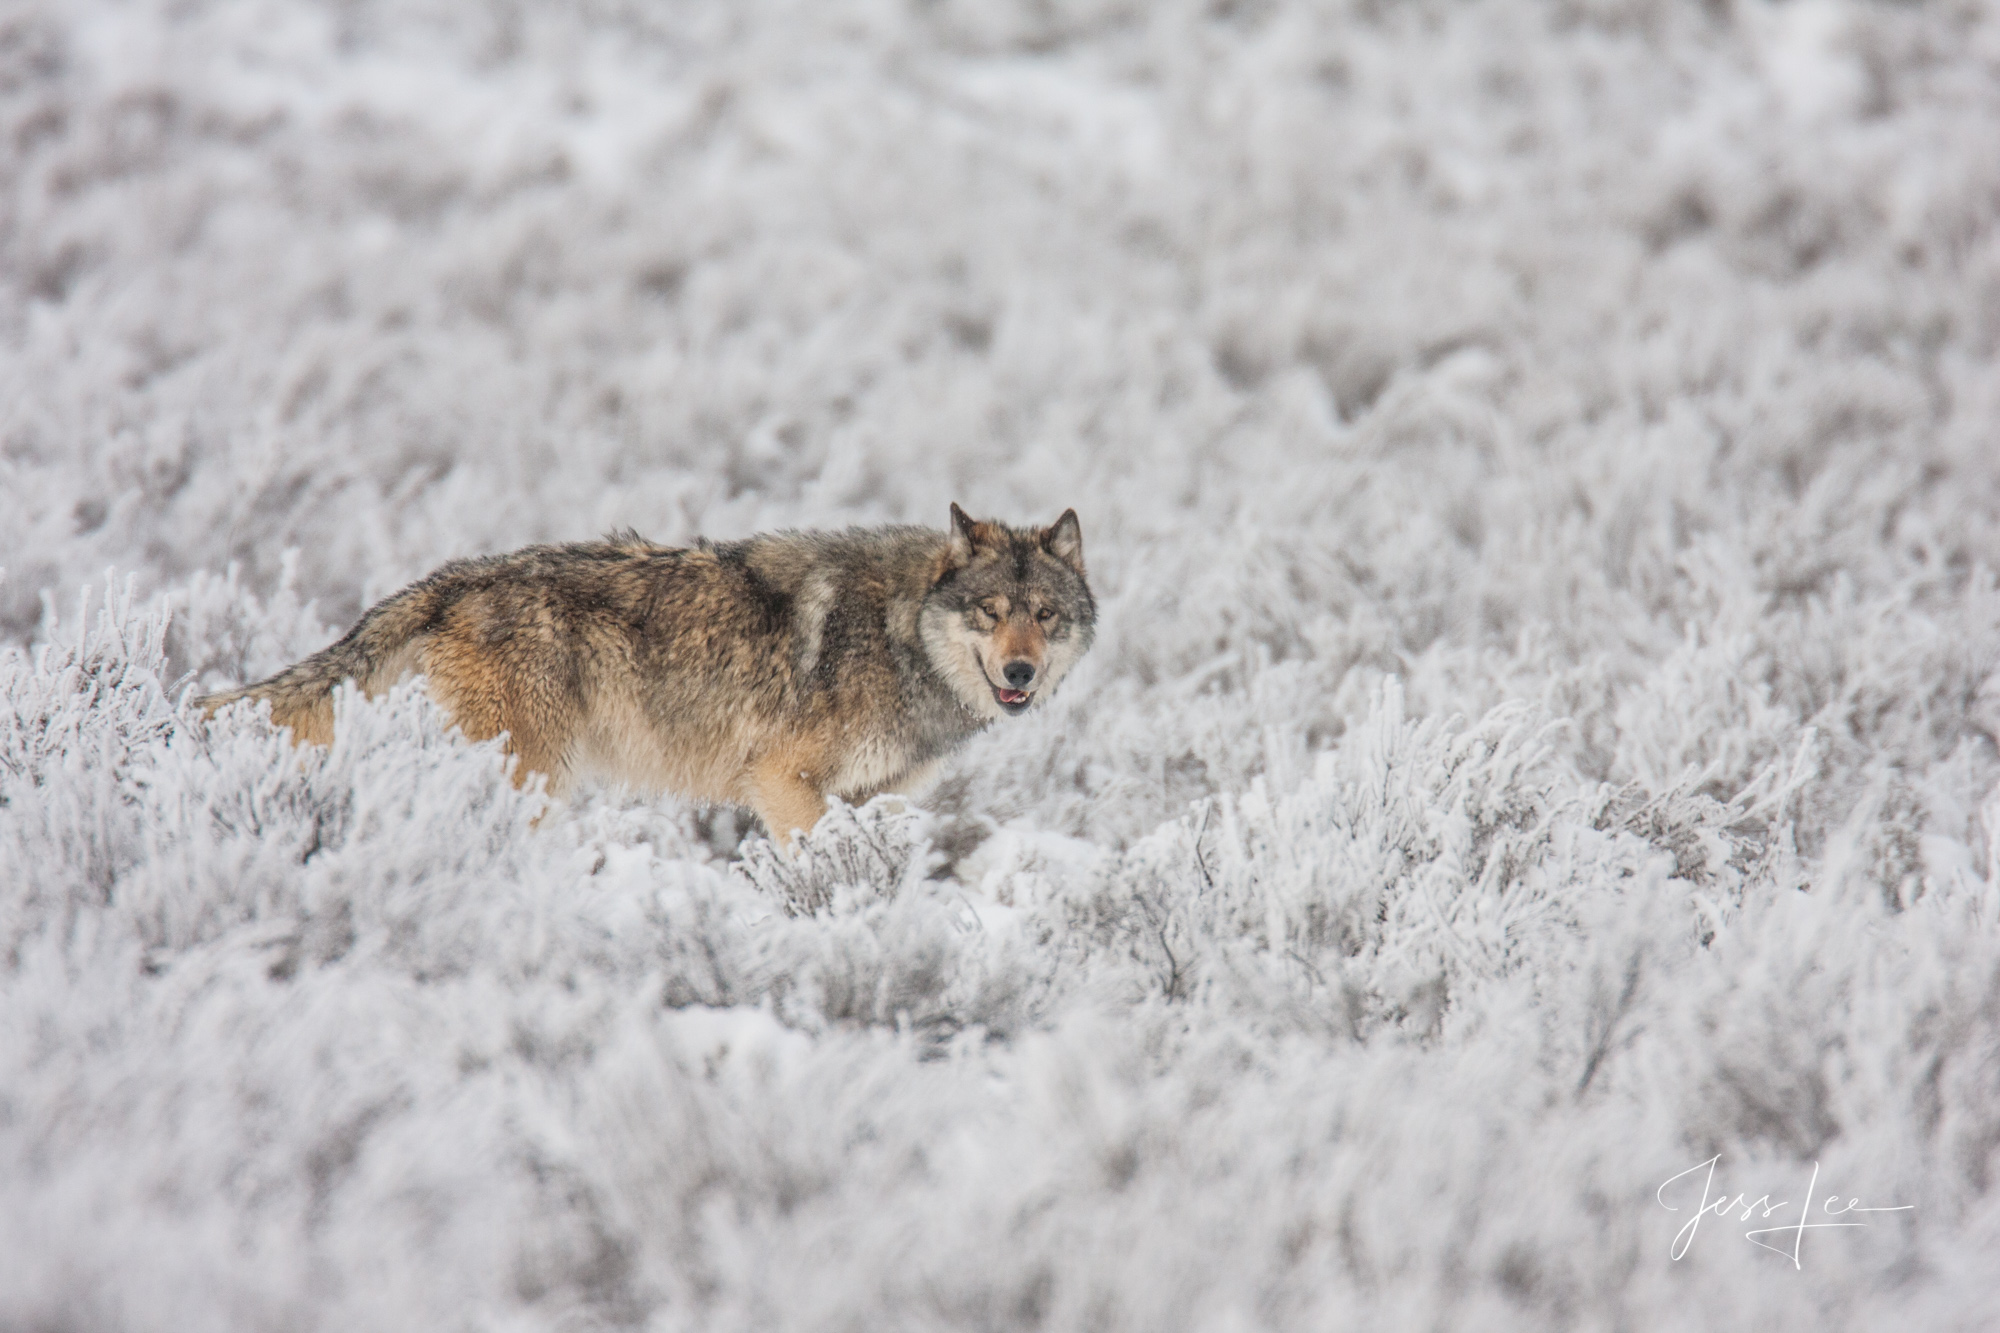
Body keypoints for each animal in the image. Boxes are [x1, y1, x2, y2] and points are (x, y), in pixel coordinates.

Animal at [197, 504, 1104, 844]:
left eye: (1044, 613)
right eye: (990, 610)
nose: (1020, 669)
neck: (900, 634)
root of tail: (456, 576)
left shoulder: (872, 796)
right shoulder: (781, 781)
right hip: (535, 775)